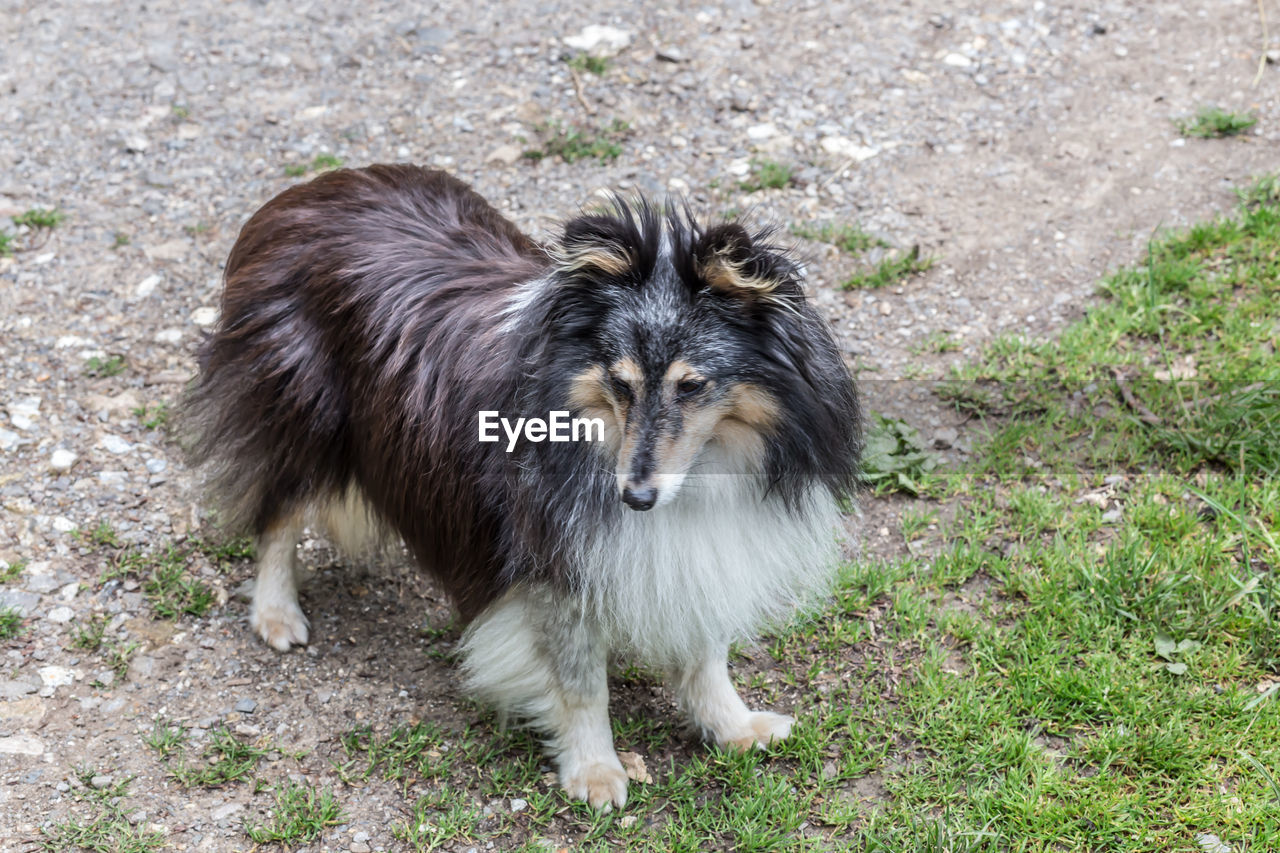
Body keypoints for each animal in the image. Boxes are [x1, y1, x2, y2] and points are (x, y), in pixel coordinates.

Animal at [183, 163, 860, 804]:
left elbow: (704, 654)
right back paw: (277, 615)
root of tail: (310, 190)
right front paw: (595, 772)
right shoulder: (553, 565)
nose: (635, 500)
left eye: (692, 386)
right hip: (306, 413)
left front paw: (735, 728)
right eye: (620, 382)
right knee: (278, 512)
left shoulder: (695, 549)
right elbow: (581, 683)